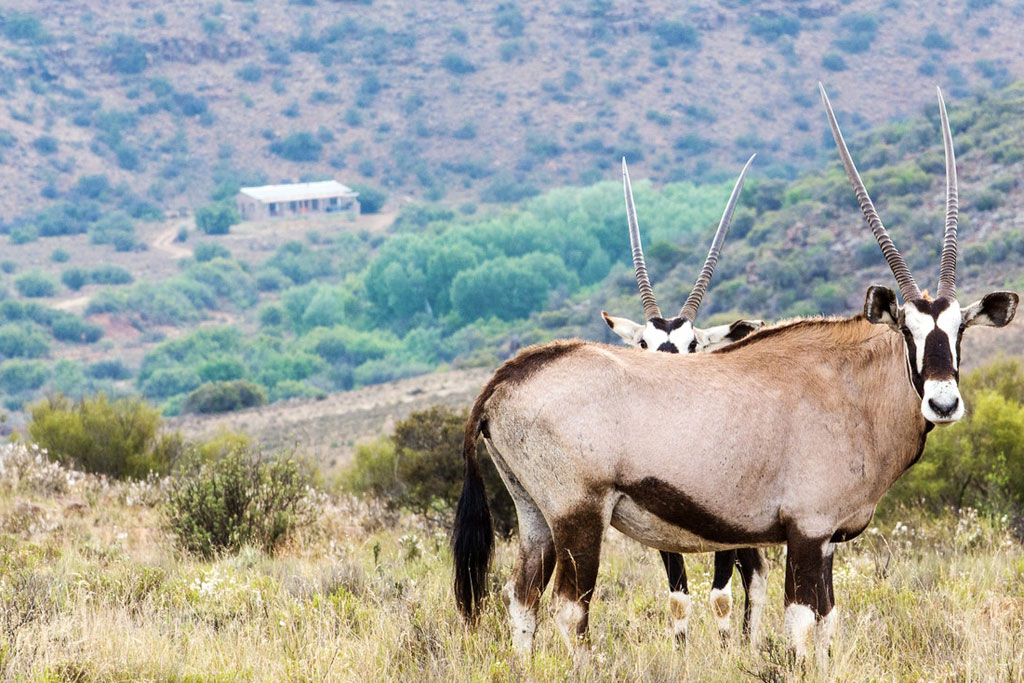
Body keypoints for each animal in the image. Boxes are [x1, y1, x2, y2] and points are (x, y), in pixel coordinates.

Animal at [602, 156, 768, 644]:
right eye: (643, 344)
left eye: (692, 345)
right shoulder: (661, 531)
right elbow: (678, 598)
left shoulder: (730, 531)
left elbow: (721, 596)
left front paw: (730, 650)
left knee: (755, 579)